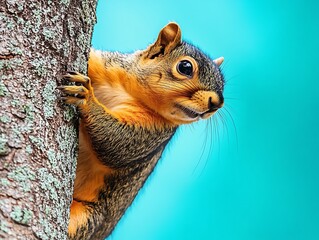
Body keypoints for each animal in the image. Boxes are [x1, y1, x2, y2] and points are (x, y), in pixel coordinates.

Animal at [59, 22, 225, 240]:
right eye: (185, 67)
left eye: (223, 83)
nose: (217, 104)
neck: (128, 89)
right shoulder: (103, 65)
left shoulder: (154, 131)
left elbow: (116, 142)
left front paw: (86, 98)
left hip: (87, 219)